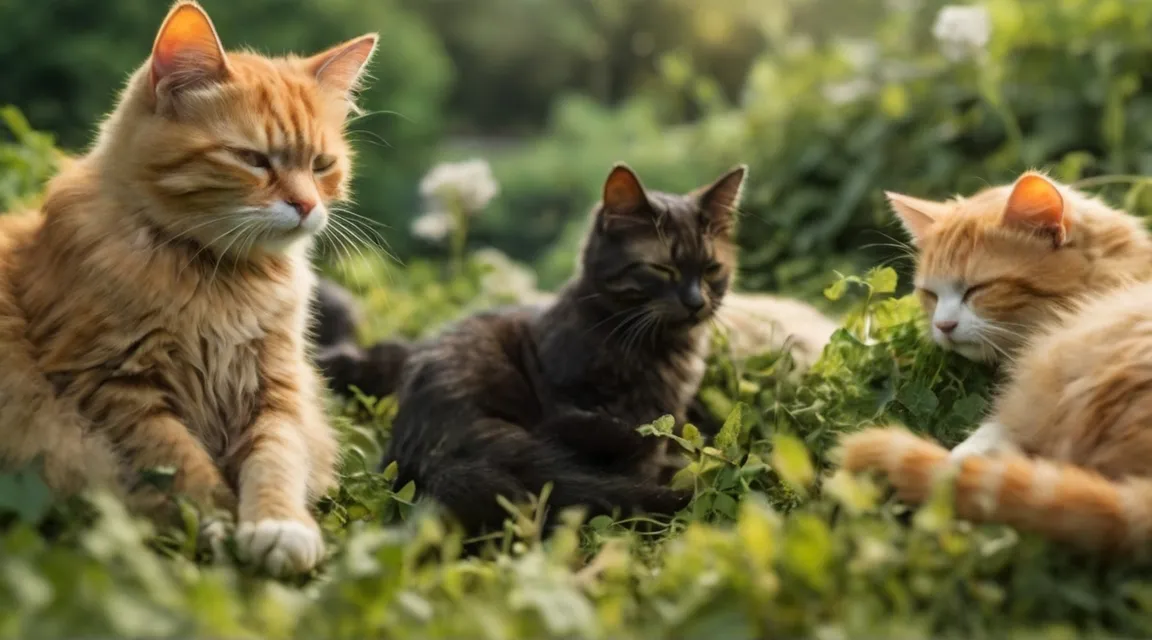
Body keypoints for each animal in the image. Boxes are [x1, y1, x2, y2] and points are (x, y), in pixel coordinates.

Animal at [0, 0, 375, 577]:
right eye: (253, 159)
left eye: (321, 165)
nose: (308, 205)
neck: (218, 281)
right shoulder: (111, 384)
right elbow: (180, 462)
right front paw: (216, 526)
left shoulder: (275, 386)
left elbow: (278, 458)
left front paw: (279, 524)